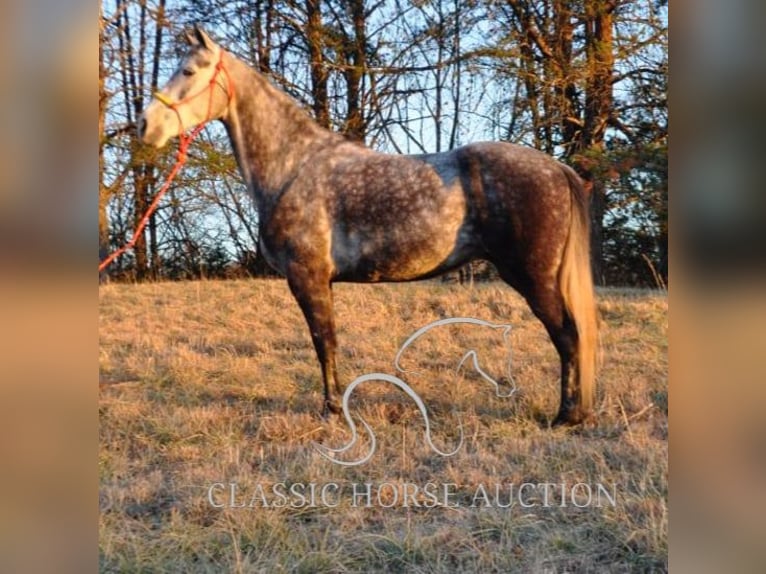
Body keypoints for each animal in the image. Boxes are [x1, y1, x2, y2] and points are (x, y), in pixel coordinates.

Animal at [142, 27, 600, 428]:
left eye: (189, 71)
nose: (147, 126)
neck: (293, 166)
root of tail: (557, 169)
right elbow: (327, 342)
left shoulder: (306, 277)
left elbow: (323, 341)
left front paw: (331, 410)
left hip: (534, 278)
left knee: (568, 335)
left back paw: (566, 416)